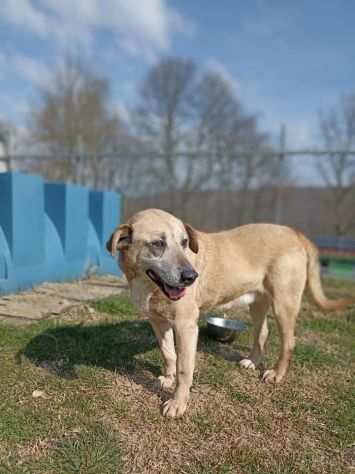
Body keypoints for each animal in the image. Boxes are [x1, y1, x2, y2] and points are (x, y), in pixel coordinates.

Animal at [106, 209, 354, 416]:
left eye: (185, 242)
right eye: (158, 243)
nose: (191, 277)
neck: (148, 285)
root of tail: (294, 232)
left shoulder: (186, 326)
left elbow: (184, 369)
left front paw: (178, 403)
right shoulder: (158, 322)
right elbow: (168, 353)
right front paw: (168, 378)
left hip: (284, 304)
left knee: (289, 341)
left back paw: (276, 374)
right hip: (258, 304)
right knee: (262, 332)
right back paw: (253, 361)